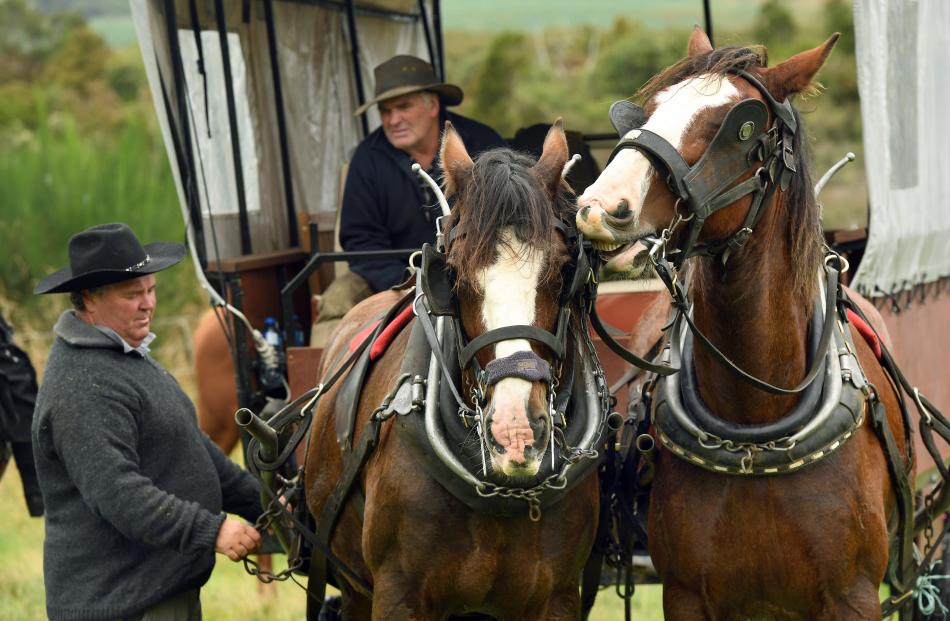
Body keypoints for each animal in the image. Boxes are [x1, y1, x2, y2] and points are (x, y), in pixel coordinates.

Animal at [308, 122, 608, 620]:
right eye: (454, 274)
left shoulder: (557, 597)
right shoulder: (397, 595)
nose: (515, 433)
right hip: (355, 590)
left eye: (563, 270)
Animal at [576, 27, 920, 616]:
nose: (600, 207)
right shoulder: (687, 596)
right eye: (650, 109)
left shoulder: (852, 596)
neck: (755, 426)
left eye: (740, 127)